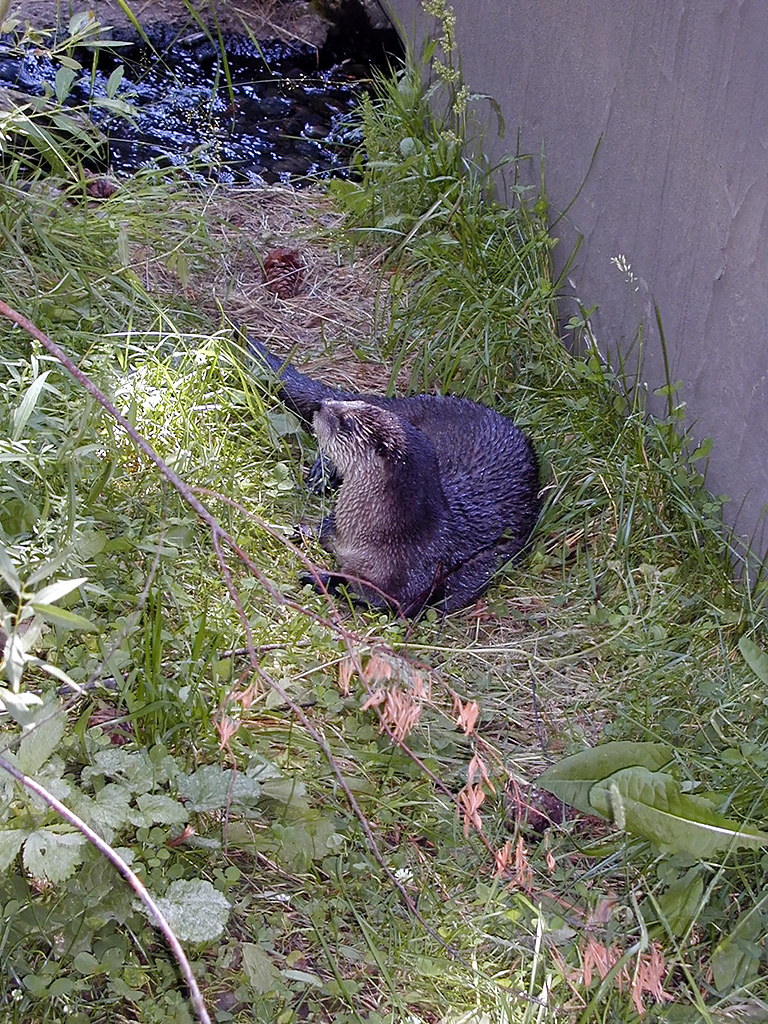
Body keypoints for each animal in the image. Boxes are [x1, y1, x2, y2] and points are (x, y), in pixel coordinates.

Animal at [247, 335, 540, 616]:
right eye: (349, 404)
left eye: (345, 422)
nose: (322, 404)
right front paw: (292, 529)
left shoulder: (412, 577)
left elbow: (378, 599)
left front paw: (322, 578)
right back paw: (321, 476)